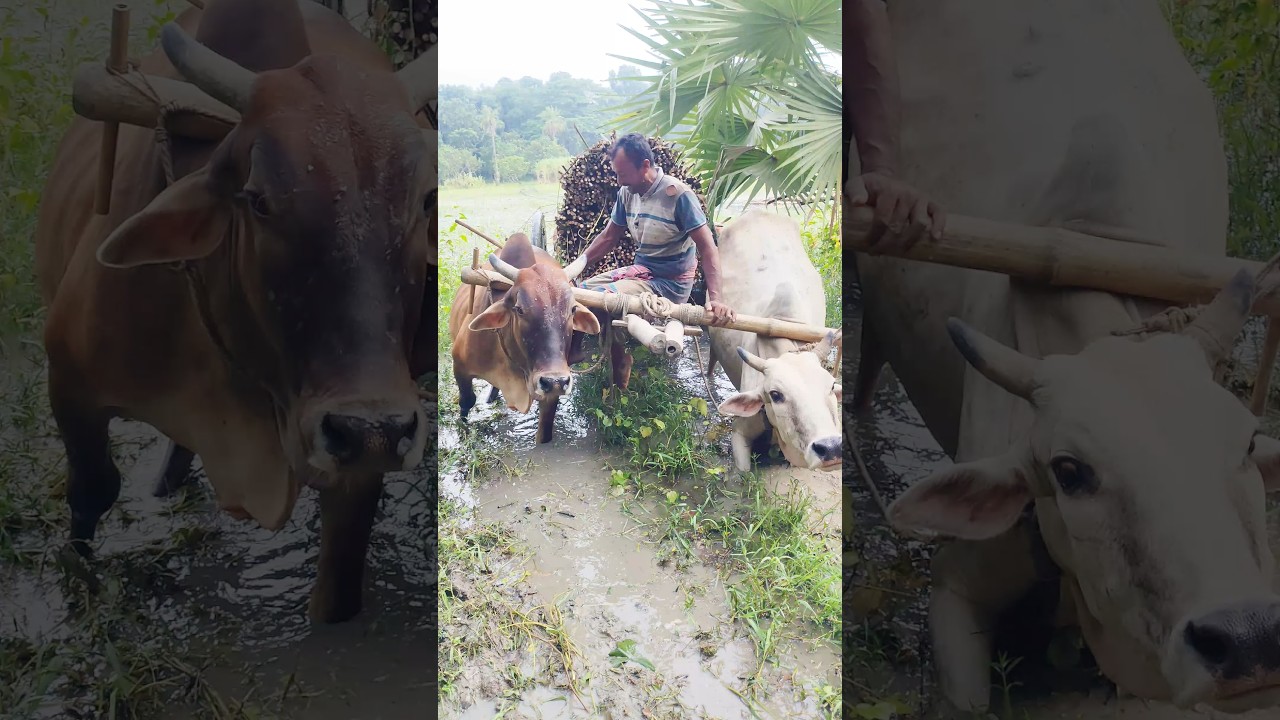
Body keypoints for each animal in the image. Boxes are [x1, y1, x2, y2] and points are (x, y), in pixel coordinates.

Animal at [33, 0, 437, 624]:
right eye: (258, 200)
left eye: (425, 200)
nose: (371, 429)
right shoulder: (69, 380)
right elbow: (92, 489)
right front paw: (80, 585)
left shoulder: (358, 463)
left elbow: (337, 592)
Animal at [447, 233, 601, 444]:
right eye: (519, 309)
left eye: (573, 309)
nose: (555, 381)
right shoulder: (460, 366)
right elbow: (467, 401)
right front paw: (462, 429)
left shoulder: (550, 394)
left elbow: (544, 432)